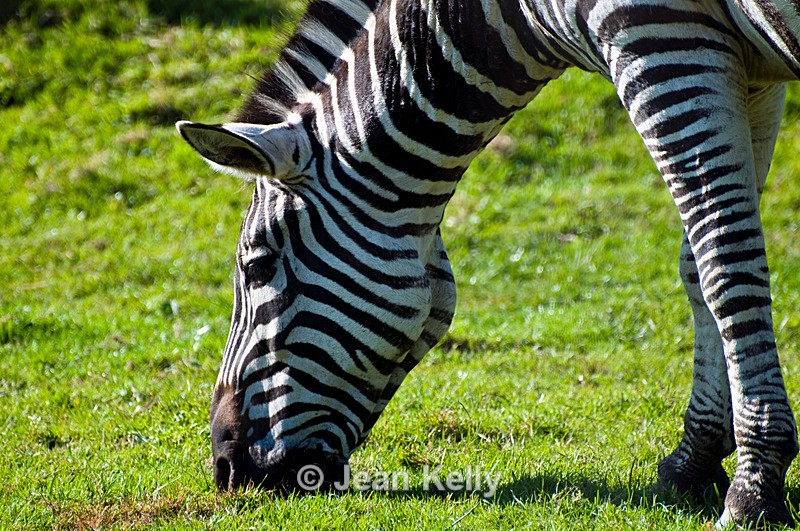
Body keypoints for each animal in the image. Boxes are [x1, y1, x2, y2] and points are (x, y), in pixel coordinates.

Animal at [176, 0, 800, 527]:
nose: (226, 470)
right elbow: (697, 264)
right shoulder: (745, 72)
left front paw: (754, 489)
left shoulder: (659, 36)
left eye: (258, 267)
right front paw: (693, 459)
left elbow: (725, 264)